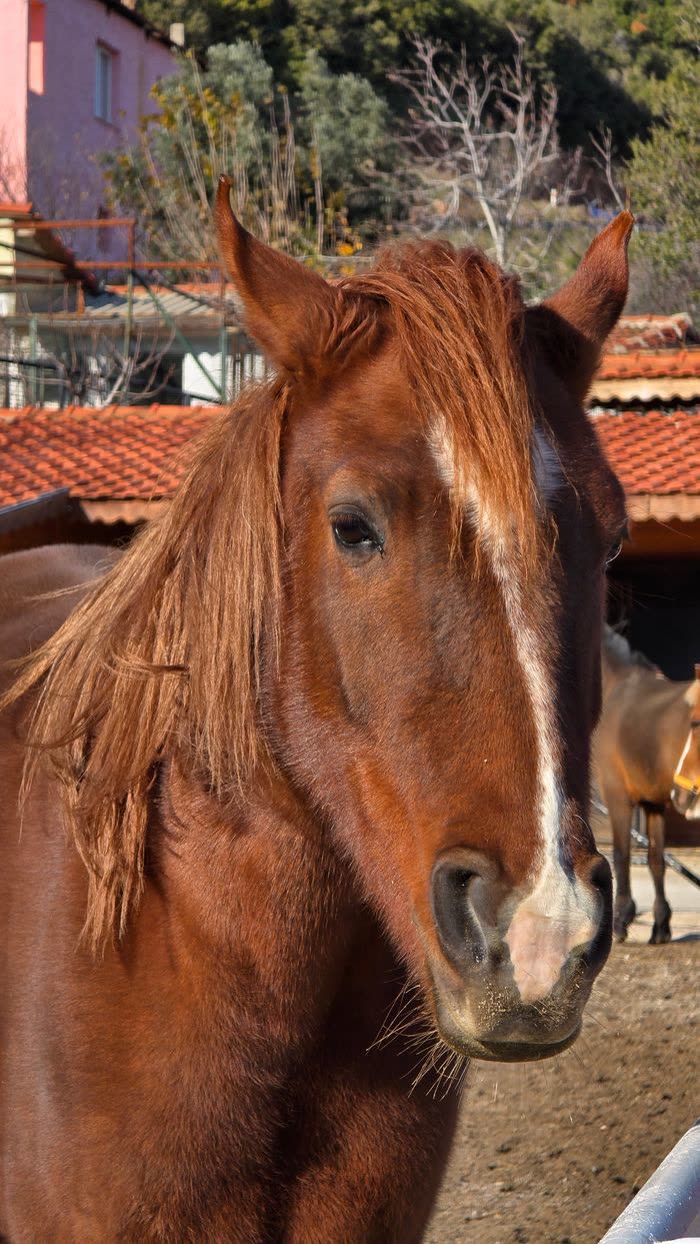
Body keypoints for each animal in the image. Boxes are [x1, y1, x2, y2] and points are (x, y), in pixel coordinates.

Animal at [596, 627, 700, 944]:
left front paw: (620, 921)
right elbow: (656, 860)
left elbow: (621, 856)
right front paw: (661, 925)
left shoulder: (617, 796)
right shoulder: (654, 804)